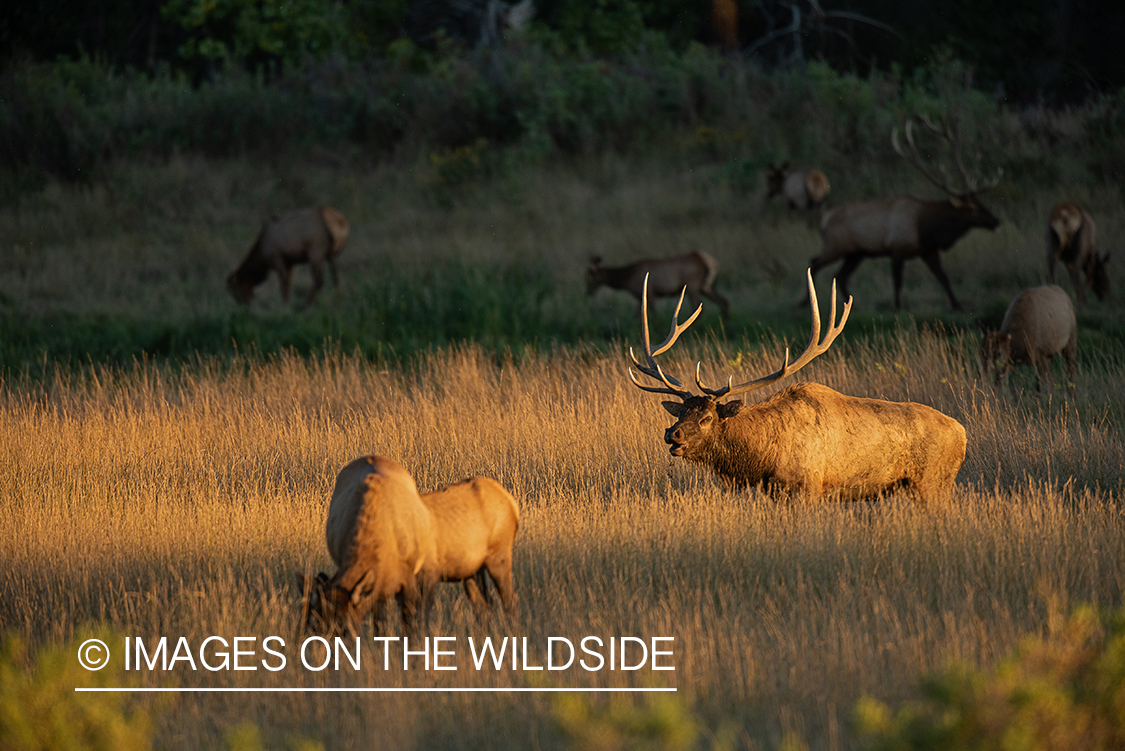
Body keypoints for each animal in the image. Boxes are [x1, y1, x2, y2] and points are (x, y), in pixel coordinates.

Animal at [585, 251, 733, 319]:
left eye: (590, 275)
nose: (588, 291)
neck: (627, 279)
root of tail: (710, 261)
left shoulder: (649, 292)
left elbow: (654, 314)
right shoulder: (640, 297)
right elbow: (636, 317)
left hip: (693, 286)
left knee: (698, 307)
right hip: (706, 287)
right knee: (724, 301)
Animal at [634, 270, 967, 503]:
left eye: (707, 418)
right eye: (680, 413)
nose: (672, 433)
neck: (763, 456)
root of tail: (962, 434)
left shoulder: (807, 486)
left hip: (933, 482)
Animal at [810, 115, 1003, 310]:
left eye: (981, 204)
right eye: (973, 209)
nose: (996, 220)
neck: (926, 229)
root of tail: (824, 220)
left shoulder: (929, 252)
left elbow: (943, 278)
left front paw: (957, 305)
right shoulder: (897, 249)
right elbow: (898, 281)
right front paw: (896, 306)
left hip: (856, 254)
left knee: (840, 276)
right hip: (835, 246)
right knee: (815, 262)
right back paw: (806, 301)